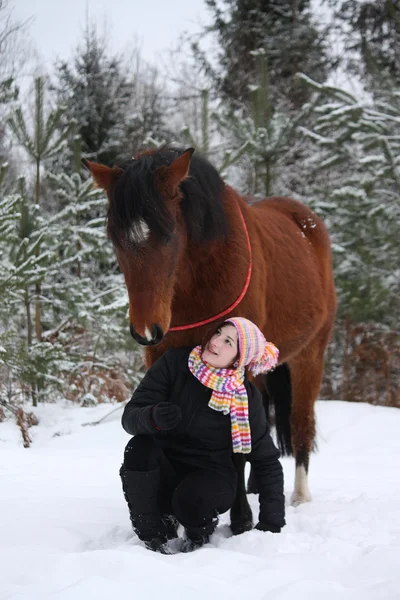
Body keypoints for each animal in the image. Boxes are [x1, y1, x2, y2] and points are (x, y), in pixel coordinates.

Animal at [83, 145, 334, 536]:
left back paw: (299, 495)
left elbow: (236, 449)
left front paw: (241, 519)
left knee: (300, 424)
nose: (144, 330)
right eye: (114, 237)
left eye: (168, 234)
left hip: (310, 355)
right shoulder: (160, 357)